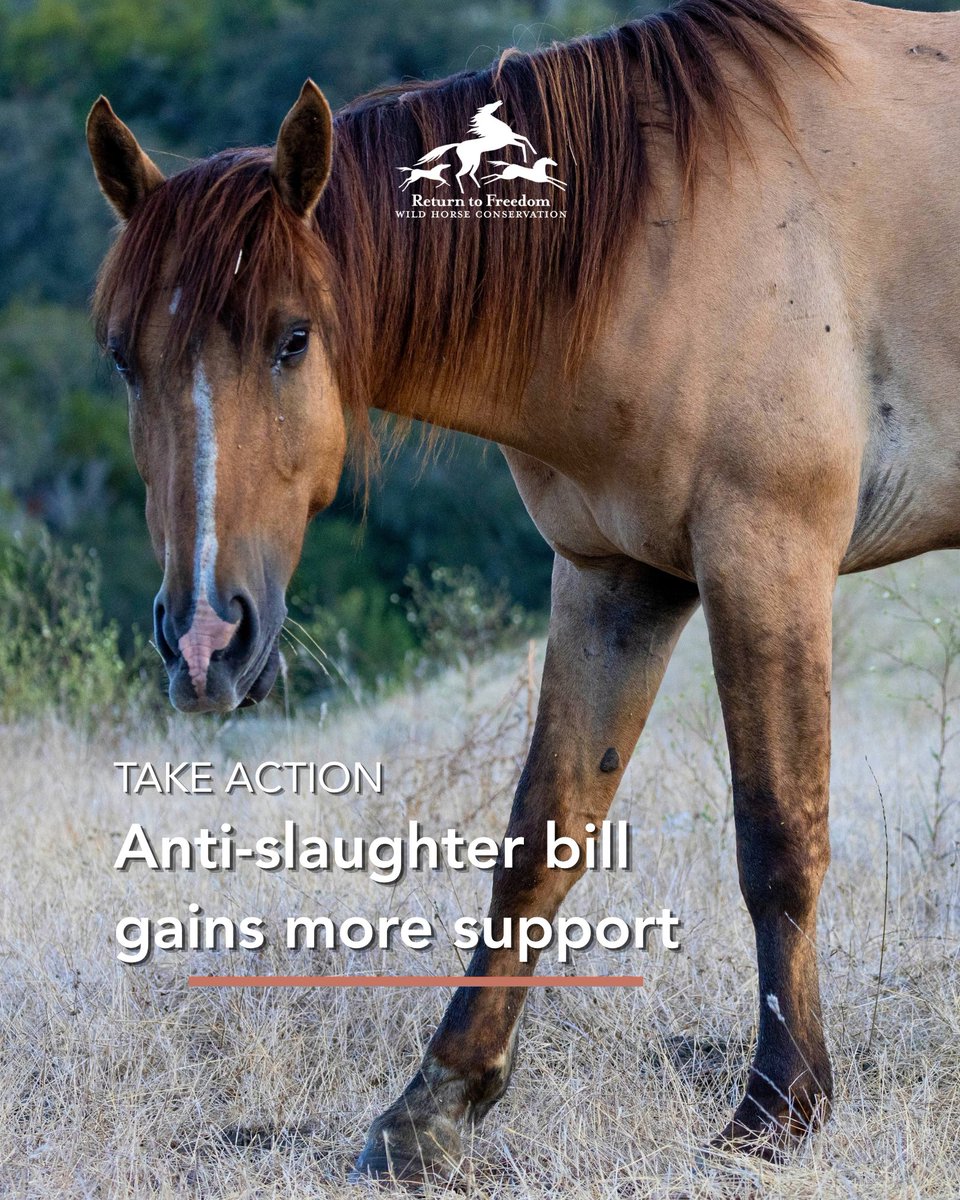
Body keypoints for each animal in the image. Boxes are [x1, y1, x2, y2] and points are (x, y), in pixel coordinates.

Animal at [85, 0, 960, 1179]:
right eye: (123, 359)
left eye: (293, 339)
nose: (203, 643)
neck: (665, 240)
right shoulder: (615, 579)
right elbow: (543, 837)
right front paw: (434, 1106)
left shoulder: (765, 556)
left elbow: (778, 836)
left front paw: (779, 1107)